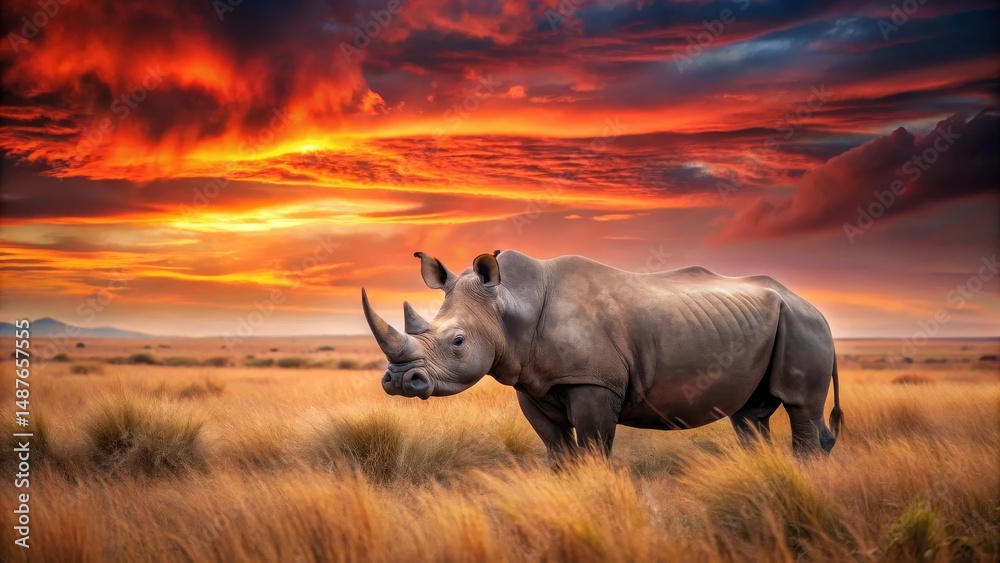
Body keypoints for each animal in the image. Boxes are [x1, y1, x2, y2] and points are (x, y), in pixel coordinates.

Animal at [361, 250, 843, 459]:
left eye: (458, 342)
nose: (400, 380)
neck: (509, 304)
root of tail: (813, 305)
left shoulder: (592, 381)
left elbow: (593, 449)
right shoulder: (533, 384)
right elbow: (558, 452)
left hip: (803, 324)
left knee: (799, 407)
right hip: (772, 323)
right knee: (749, 413)